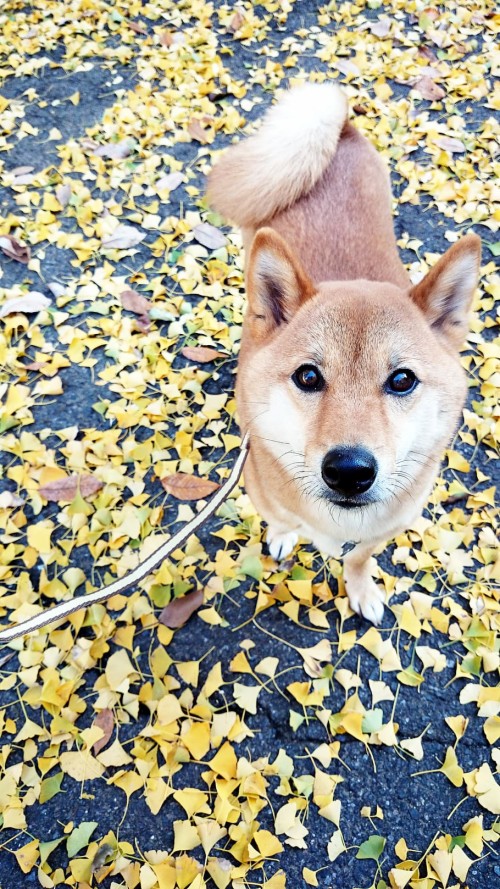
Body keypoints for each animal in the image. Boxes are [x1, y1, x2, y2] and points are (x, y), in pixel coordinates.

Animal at [208, 83, 480, 624]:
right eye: (308, 377)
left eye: (402, 380)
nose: (349, 471)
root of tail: (341, 126)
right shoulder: (265, 497)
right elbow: (281, 523)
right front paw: (284, 537)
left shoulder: (380, 531)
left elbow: (358, 560)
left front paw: (361, 590)